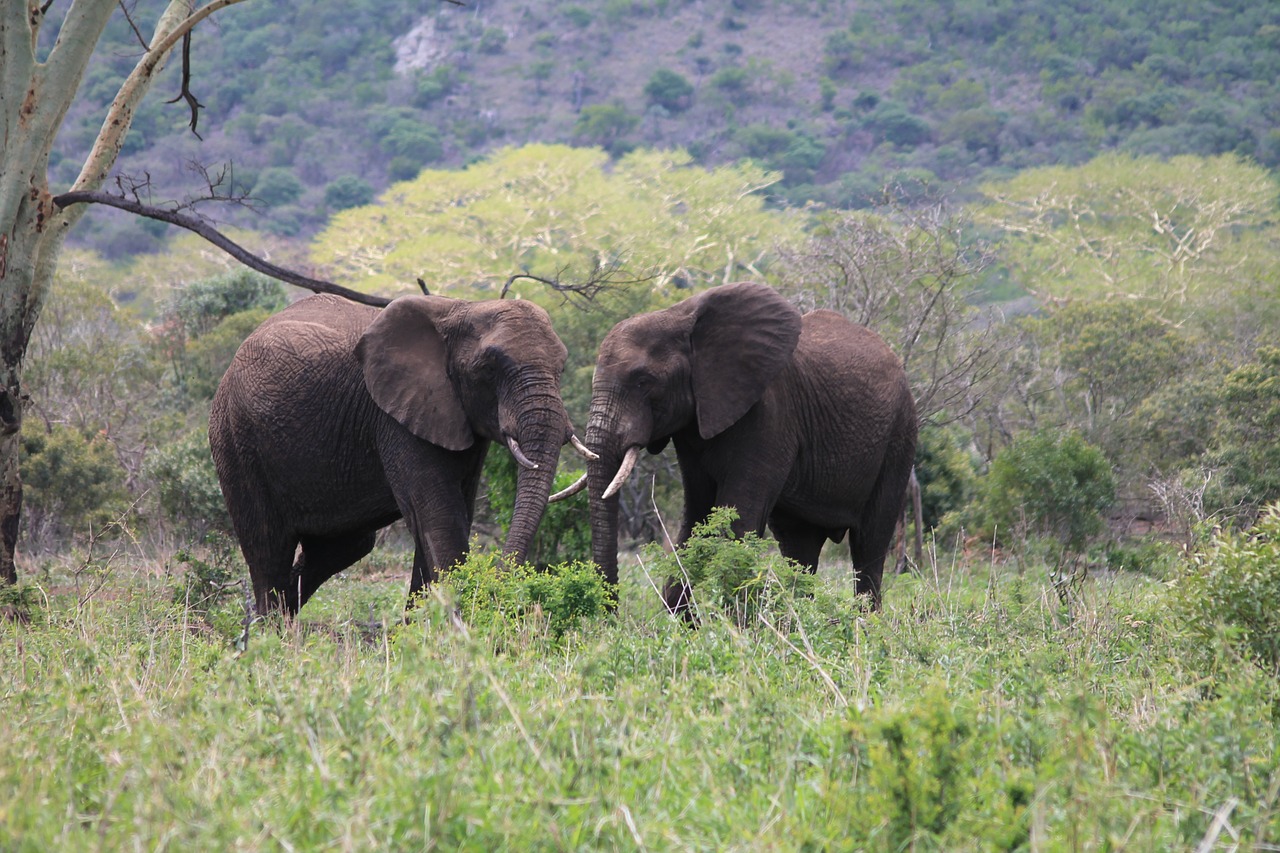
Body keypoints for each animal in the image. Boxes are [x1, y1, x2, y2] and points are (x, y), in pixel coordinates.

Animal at [208, 292, 588, 612]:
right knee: (268, 548)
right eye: (489, 368)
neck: (462, 308)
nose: (500, 588)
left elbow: (452, 514)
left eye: (562, 367)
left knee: (343, 547)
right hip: (236, 439)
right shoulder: (394, 419)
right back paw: (272, 638)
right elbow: (438, 516)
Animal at [581, 281, 921, 607]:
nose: (610, 613)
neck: (681, 316)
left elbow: (737, 521)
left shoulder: (769, 414)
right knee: (799, 545)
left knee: (869, 542)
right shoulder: (693, 426)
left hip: (899, 434)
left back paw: (865, 621)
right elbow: (697, 517)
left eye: (643, 382)